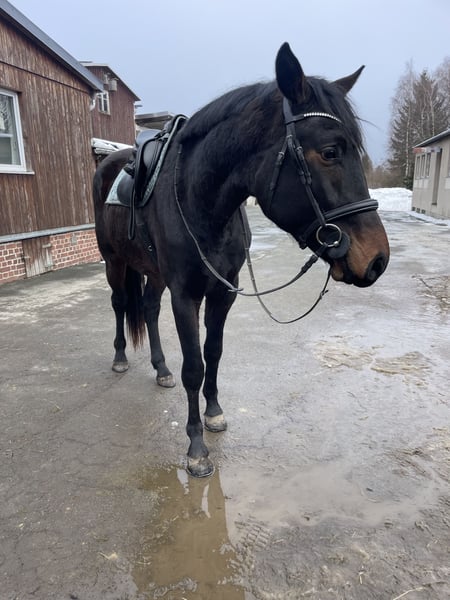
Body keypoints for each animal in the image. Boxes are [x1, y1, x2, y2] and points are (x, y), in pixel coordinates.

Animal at [93, 42, 390, 478]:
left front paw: (214, 413)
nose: (377, 259)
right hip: (114, 262)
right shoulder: (185, 296)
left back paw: (160, 368)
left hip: (154, 273)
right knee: (119, 304)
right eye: (330, 151)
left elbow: (213, 352)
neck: (199, 200)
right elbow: (194, 366)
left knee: (147, 308)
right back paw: (119, 358)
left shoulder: (224, 290)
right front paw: (196, 448)